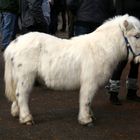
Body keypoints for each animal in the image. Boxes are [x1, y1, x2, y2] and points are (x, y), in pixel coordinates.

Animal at [3, 14, 140, 126]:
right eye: (137, 36)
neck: (102, 48)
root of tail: (13, 44)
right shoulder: (89, 82)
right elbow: (86, 100)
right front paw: (86, 120)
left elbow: (89, 101)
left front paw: (90, 115)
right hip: (26, 77)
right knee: (21, 95)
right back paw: (26, 118)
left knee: (17, 96)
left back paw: (16, 113)